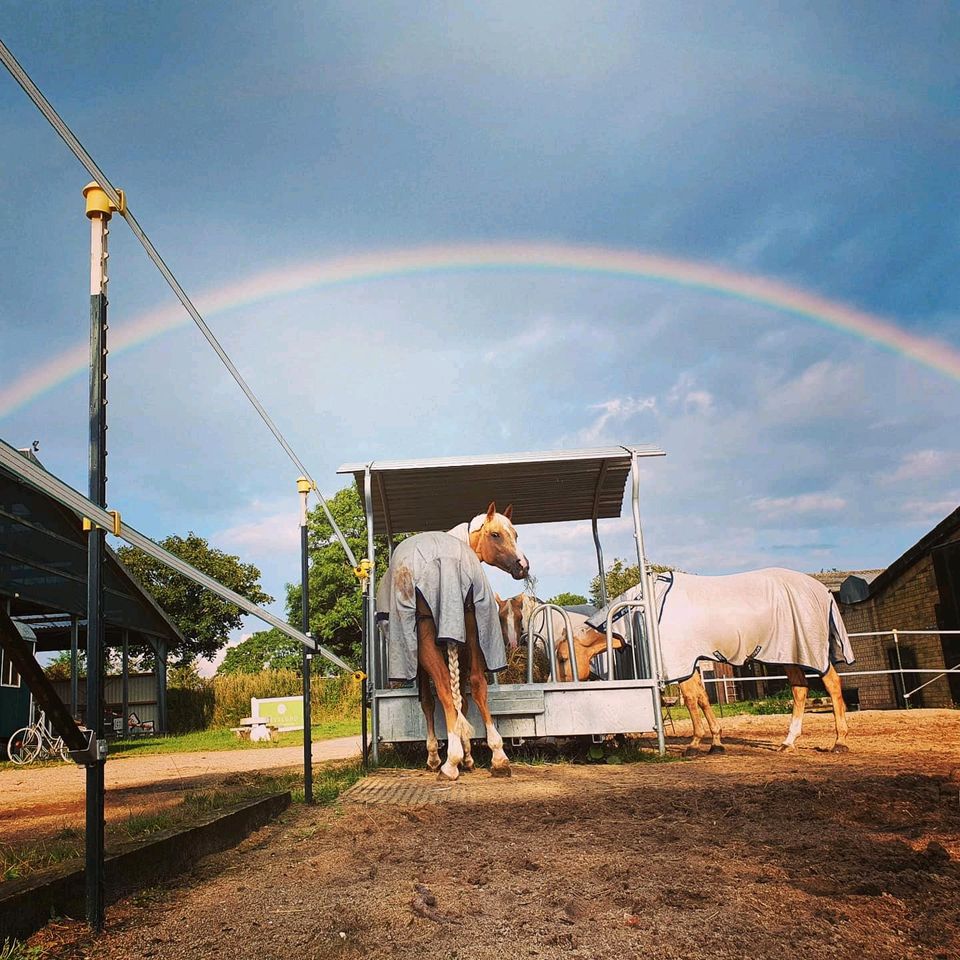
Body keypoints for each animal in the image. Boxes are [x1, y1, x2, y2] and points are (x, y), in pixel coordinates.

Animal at [376, 502, 528, 780]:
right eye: (496, 534)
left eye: (515, 534)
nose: (523, 566)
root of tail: (448, 562)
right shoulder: (461, 640)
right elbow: (465, 698)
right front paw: (469, 756)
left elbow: (431, 701)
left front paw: (438, 756)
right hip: (472, 633)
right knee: (477, 685)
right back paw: (498, 757)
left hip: (428, 641)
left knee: (445, 689)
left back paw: (450, 762)